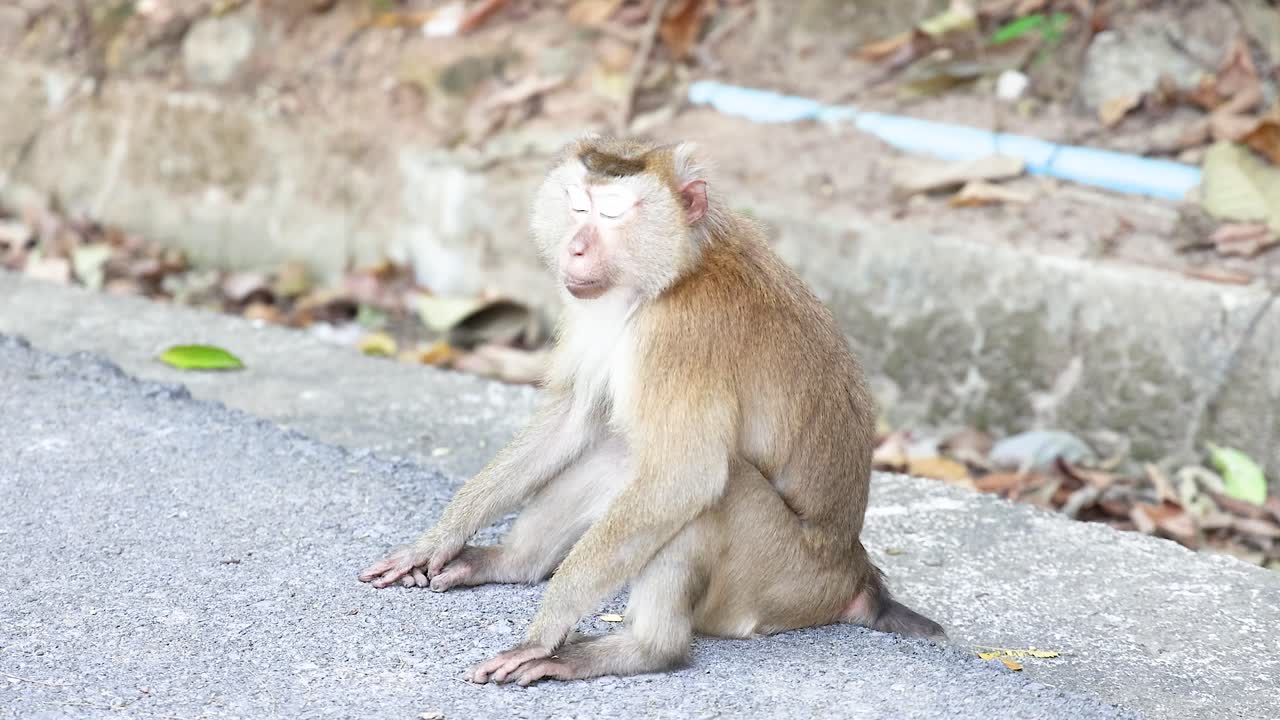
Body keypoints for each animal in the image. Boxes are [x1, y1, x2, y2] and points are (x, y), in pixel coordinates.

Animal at [358, 135, 944, 685]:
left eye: (613, 214)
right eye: (578, 205)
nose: (574, 249)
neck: (675, 272)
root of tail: (852, 572)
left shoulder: (683, 334)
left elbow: (685, 477)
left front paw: (544, 632)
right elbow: (573, 419)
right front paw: (437, 539)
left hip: (779, 578)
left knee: (708, 490)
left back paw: (644, 650)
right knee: (623, 454)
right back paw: (512, 563)